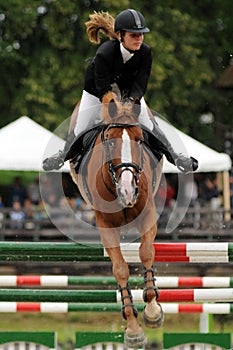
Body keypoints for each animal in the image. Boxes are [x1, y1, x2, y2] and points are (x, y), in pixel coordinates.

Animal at [69, 91, 164, 348]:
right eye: (110, 142)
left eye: (140, 140)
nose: (128, 191)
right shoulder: (105, 225)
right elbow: (120, 269)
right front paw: (133, 329)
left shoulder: (148, 214)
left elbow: (146, 252)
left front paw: (152, 311)